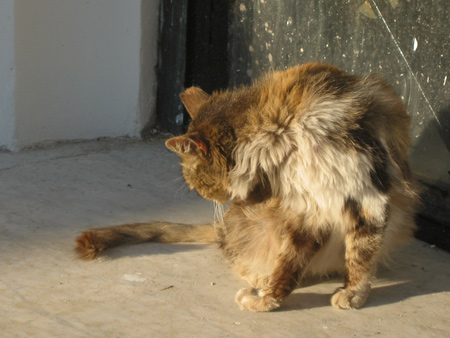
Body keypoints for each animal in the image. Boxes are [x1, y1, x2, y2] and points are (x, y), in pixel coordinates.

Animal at [76, 62, 418, 312]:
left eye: (196, 183)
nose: (207, 197)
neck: (285, 136)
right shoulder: (307, 209)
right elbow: (290, 261)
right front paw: (268, 298)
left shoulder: (366, 195)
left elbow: (361, 254)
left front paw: (353, 293)